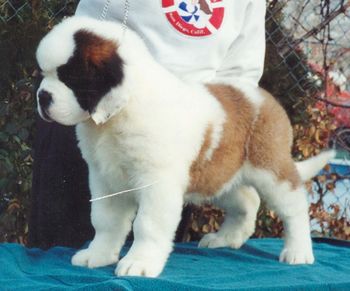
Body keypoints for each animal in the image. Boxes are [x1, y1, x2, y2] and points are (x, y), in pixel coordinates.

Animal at [37, 16, 334, 278]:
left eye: (70, 78)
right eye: (44, 74)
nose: (42, 96)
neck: (118, 114)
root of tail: (262, 95)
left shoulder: (157, 183)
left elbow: (147, 224)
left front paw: (139, 263)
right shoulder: (105, 179)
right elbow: (105, 220)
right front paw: (97, 255)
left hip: (270, 170)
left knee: (294, 206)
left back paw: (298, 252)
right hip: (218, 176)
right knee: (247, 201)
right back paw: (226, 239)